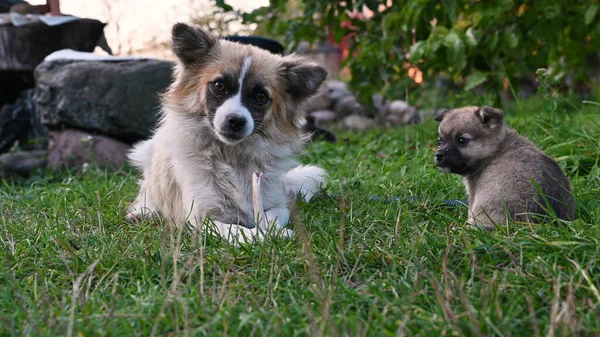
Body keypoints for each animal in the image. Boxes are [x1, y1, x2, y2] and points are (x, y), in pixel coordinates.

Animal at [127, 23, 330, 243]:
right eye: (219, 85)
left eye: (261, 96)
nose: (236, 121)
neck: (233, 155)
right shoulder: (200, 217)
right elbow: (234, 229)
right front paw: (256, 237)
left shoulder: (276, 203)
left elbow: (271, 217)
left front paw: (273, 232)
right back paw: (143, 212)